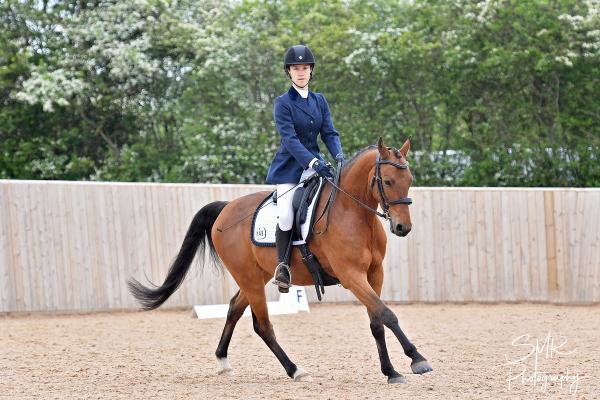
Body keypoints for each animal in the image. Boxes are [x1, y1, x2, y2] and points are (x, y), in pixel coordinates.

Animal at [130, 138, 432, 384]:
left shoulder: (374, 274)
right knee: (262, 325)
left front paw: (391, 372)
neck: (353, 213)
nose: (403, 227)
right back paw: (294, 370)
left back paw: (223, 361)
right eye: (388, 181)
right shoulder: (351, 276)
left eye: (409, 180)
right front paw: (417, 360)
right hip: (249, 278)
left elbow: (377, 321)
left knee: (234, 308)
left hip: (257, 275)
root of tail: (225, 209)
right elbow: (386, 314)